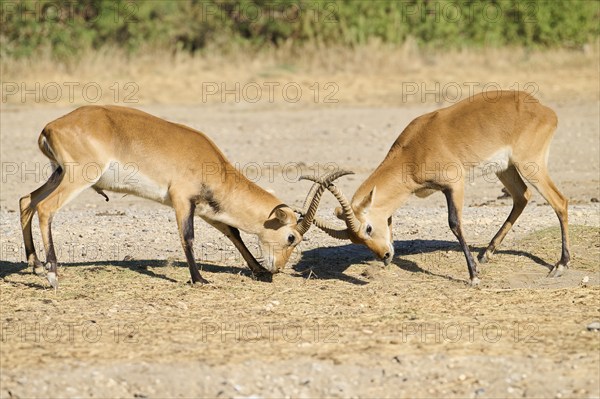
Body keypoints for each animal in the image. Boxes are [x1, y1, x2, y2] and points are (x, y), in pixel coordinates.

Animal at [19, 104, 346, 290]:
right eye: (292, 237)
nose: (278, 268)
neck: (211, 163)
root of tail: (51, 126)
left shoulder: (205, 209)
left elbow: (234, 233)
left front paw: (259, 271)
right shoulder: (181, 201)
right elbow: (187, 237)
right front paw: (199, 279)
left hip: (59, 173)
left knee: (27, 201)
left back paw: (35, 264)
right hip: (77, 178)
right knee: (44, 208)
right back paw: (52, 274)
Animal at [304, 91, 572, 284]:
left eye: (368, 228)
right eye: (356, 240)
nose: (385, 256)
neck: (412, 151)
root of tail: (545, 110)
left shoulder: (455, 184)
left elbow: (454, 223)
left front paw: (473, 276)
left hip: (530, 165)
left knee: (559, 201)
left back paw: (560, 265)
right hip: (505, 168)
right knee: (522, 196)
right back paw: (487, 253)